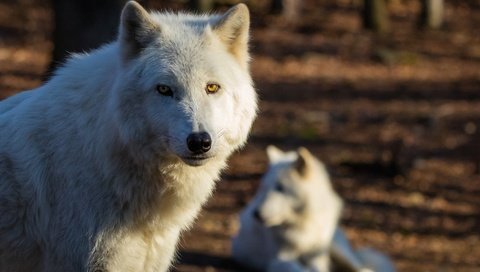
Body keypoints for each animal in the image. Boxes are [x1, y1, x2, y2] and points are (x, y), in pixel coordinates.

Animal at [232, 147, 394, 272]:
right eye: (264, 187)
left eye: (280, 188)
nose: (256, 214)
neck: (303, 225)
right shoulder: (278, 260)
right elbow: (297, 268)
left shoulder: (317, 257)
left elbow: (319, 268)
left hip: (336, 248)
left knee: (359, 266)